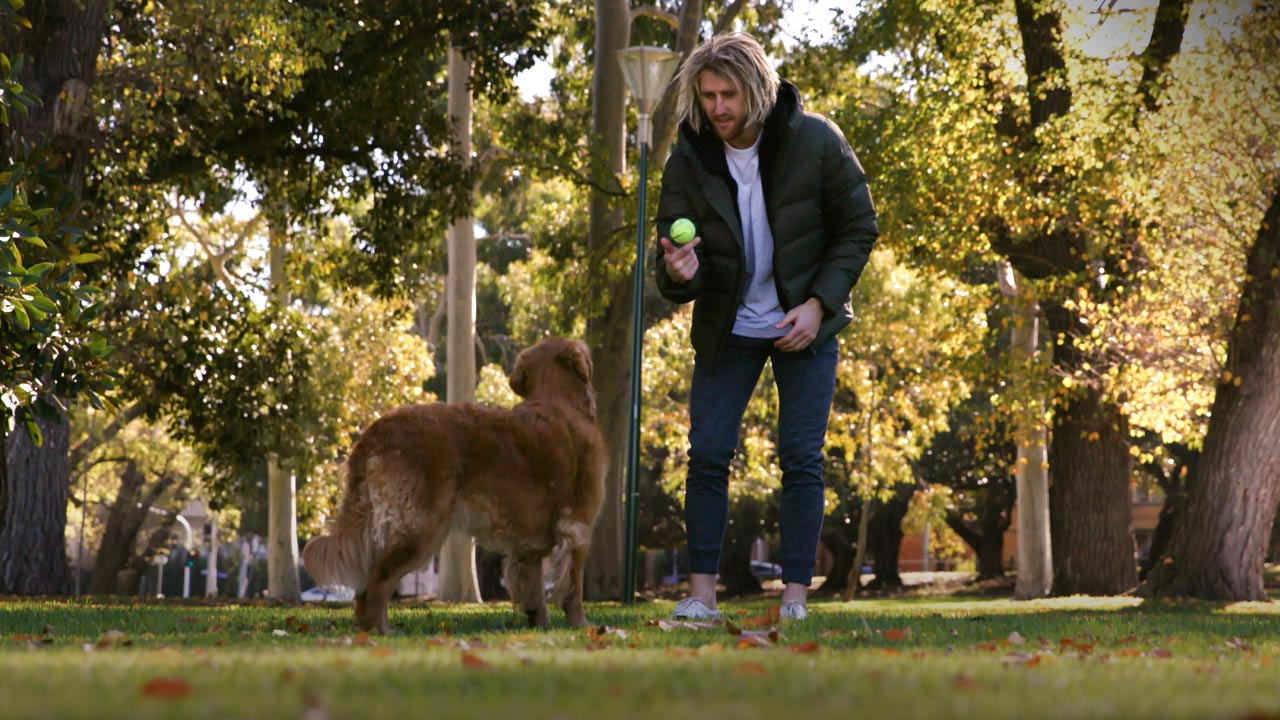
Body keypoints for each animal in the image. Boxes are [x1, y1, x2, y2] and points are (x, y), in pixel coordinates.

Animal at [307, 335, 611, 627]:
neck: (556, 400)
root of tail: (376, 431)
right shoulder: (578, 526)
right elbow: (573, 589)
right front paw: (581, 625)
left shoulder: (529, 544)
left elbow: (534, 592)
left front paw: (541, 626)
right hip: (421, 528)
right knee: (376, 584)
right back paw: (381, 632)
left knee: (365, 587)